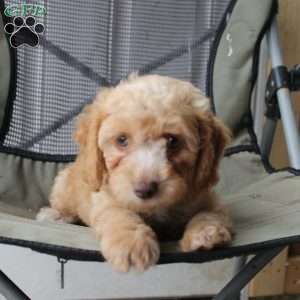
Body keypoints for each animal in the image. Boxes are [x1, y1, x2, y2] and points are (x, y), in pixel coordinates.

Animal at [37, 74, 233, 272]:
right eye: (121, 140)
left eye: (172, 140)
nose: (144, 190)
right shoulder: (106, 195)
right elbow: (118, 212)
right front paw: (131, 243)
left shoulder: (207, 198)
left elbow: (209, 213)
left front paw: (206, 233)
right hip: (63, 187)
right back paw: (52, 215)